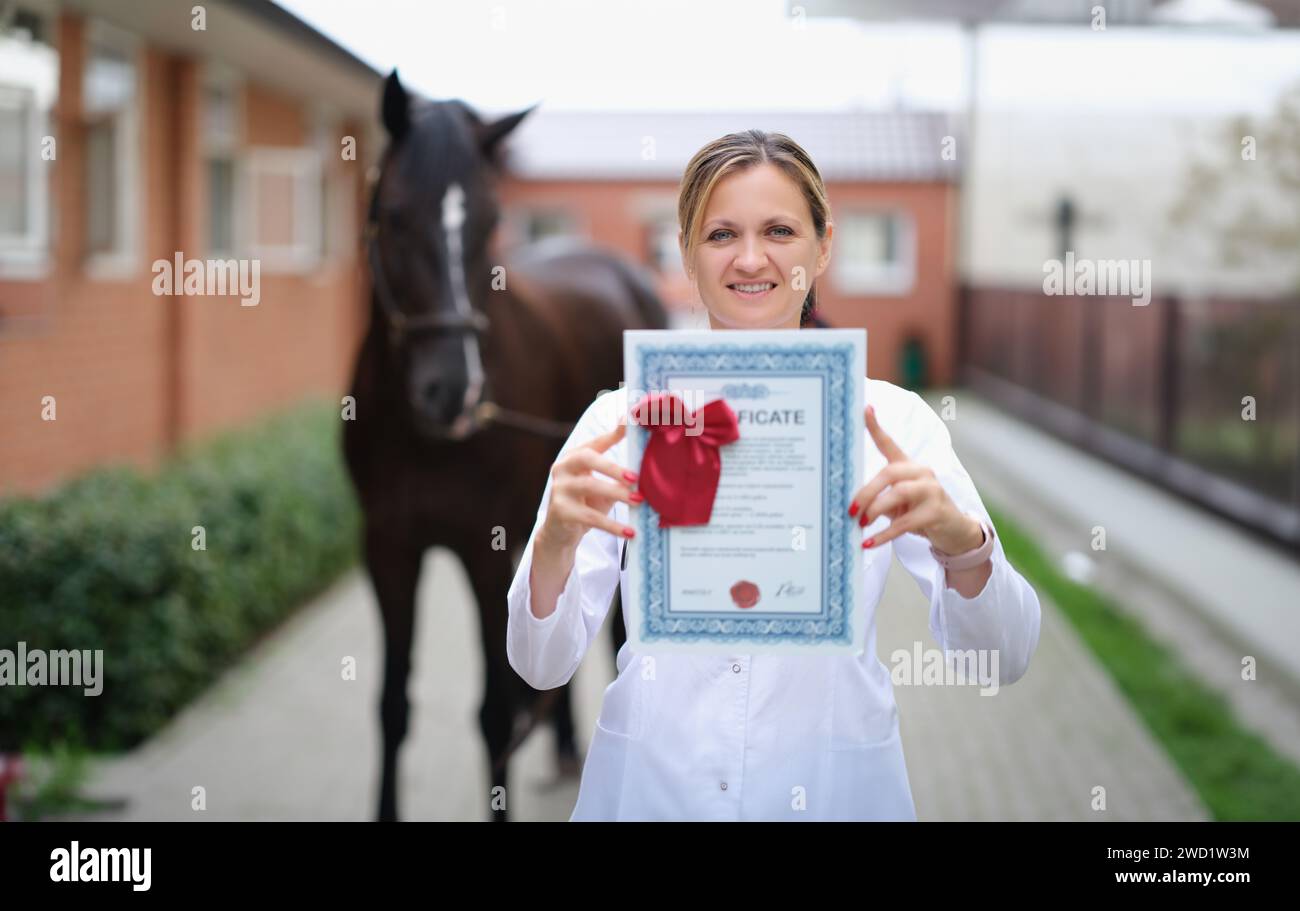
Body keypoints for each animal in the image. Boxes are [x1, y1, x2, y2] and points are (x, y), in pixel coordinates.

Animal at [340, 74, 665, 821]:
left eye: (490, 220)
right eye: (394, 213)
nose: (452, 389)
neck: (418, 435)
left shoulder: (477, 548)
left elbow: (491, 709)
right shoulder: (387, 548)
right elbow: (391, 706)